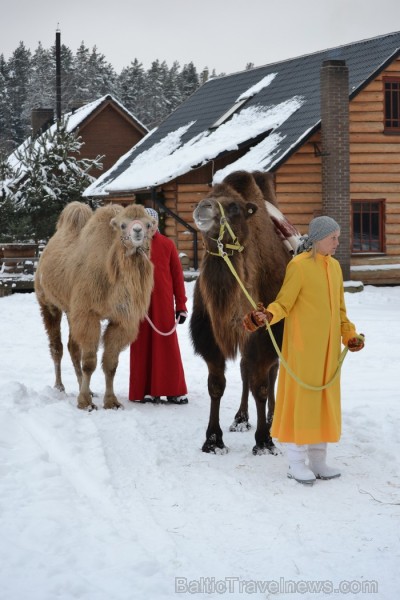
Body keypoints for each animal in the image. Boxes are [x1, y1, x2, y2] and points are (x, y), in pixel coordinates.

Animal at [35, 200, 154, 408]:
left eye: (148, 224)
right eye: (123, 225)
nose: (137, 230)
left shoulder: (121, 319)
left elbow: (111, 363)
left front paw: (111, 401)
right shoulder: (88, 312)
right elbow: (90, 362)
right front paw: (85, 402)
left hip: (71, 309)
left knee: (72, 347)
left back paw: (85, 388)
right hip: (49, 303)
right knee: (57, 346)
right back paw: (59, 386)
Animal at [189, 171, 292, 452]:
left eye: (234, 207)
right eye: (205, 197)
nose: (202, 207)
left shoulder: (267, 331)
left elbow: (261, 386)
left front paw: (264, 440)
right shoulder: (210, 334)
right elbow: (216, 385)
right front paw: (213, 440)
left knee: (270, 372)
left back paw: (272, 417)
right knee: (246, 368)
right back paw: (241, 418)